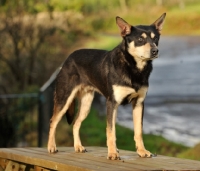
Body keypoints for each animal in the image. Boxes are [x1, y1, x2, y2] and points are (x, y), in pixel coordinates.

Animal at [47, 13, 166, 160]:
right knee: (53, 121)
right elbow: (111, 131)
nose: (155, 51)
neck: (134, 68)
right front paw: (113, 153)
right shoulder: (112, 103)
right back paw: (51, 147)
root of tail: (68, 59)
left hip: (86, 104)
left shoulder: (139, 103)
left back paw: (78, 147)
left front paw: (142, 151)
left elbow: (138, 131)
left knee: (75, 123)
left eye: (155, 38)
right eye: (140, 39)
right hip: (64, 98)